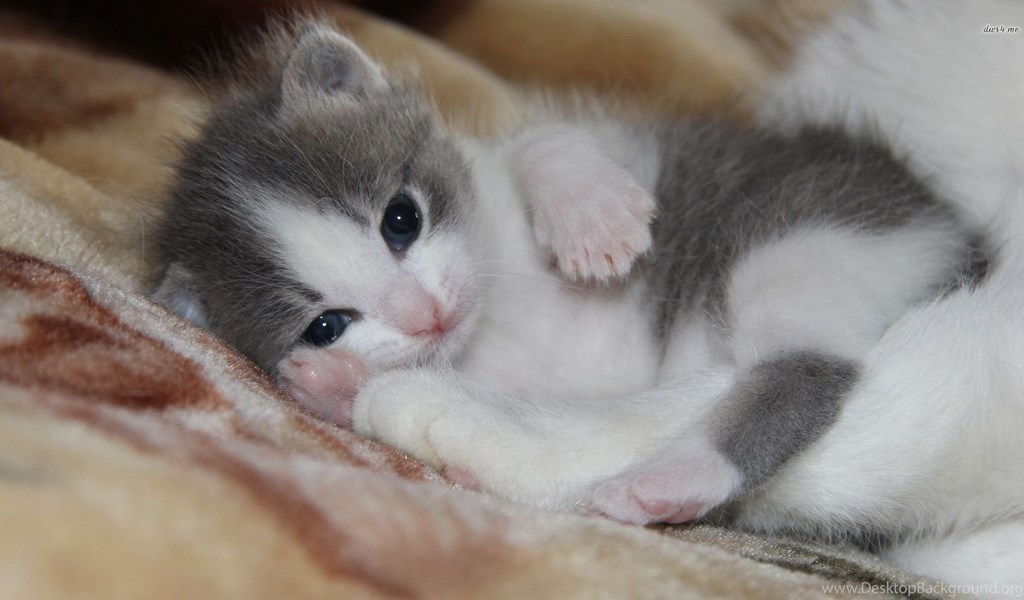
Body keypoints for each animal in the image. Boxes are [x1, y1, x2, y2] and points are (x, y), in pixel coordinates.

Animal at [150, 5, 1014, 592]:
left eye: (402, 218)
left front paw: (591, 216)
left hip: (805, 238)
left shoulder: (557, 154)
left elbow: (546, 145)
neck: (494, 317)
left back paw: (680, 471)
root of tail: (965, 242)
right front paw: (337, 382)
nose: (426, 314)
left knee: (808, 367)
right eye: (327, 323)